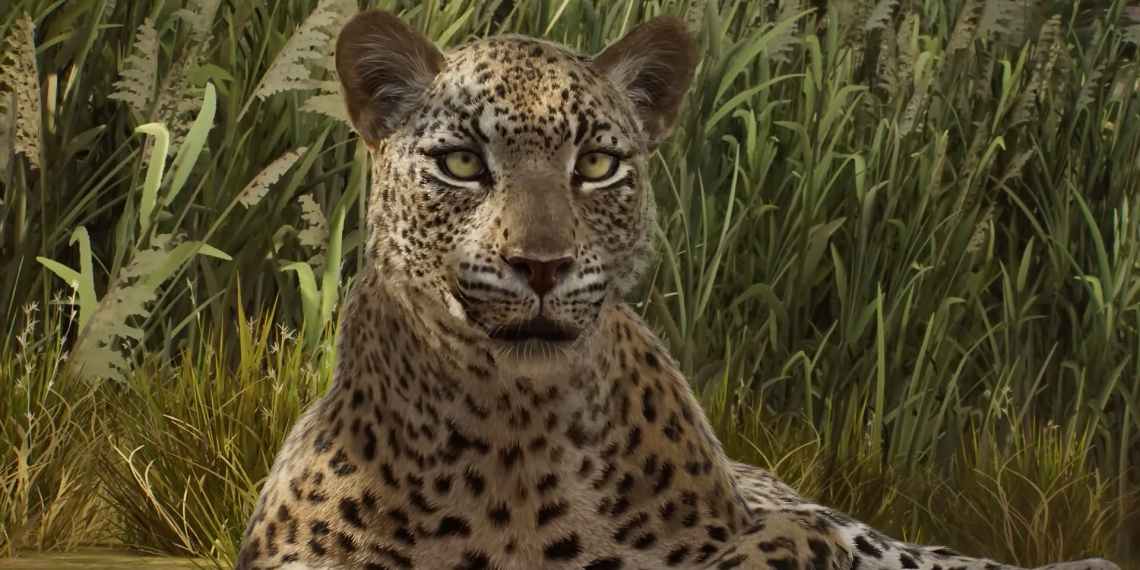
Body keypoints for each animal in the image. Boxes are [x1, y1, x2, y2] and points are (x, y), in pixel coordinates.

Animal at [236, 9, 1122, 570]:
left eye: (598, 165)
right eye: (461, 163)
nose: (542, 265)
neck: (510, 445)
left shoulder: (786, 535)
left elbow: (756, 553)